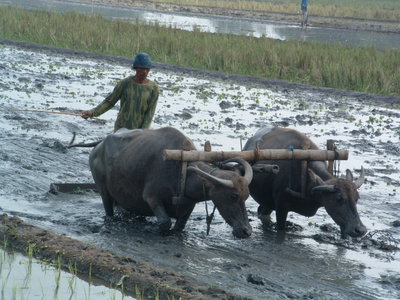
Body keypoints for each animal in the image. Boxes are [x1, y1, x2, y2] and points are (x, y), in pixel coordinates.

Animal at [90, 127, 253, 238]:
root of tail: (99, 146)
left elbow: (179, 226)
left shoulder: (189, 205)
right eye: (233, 196)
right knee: (108, 209)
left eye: (246, 197)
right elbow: (165, 222)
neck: (183, 171)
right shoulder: (151, 197)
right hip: (103, 190)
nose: (247, 231)